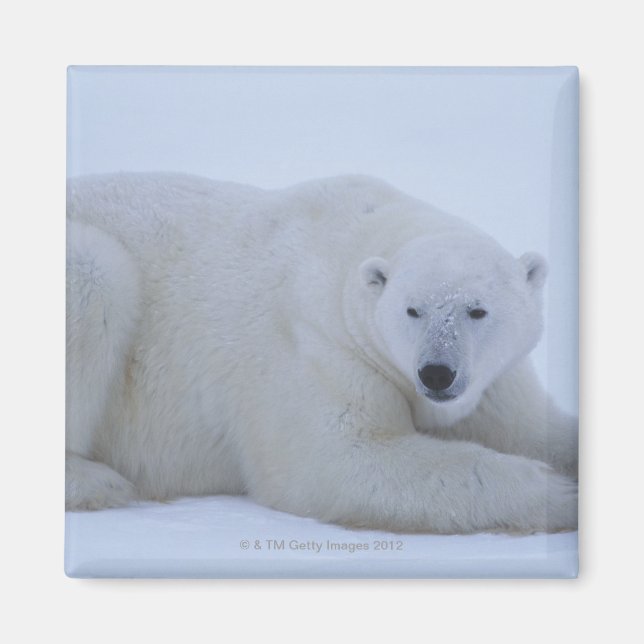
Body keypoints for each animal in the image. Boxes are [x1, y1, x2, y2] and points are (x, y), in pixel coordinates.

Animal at [66, 173, 578, 533]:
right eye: (412, 310)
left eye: (477, 310)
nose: (436, 373)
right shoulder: (315, 344)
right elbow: (340, 461)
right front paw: (559, 494)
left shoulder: (495, 380)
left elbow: (533, 427)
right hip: (91, 264)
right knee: (96, 272)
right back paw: (101, 483)